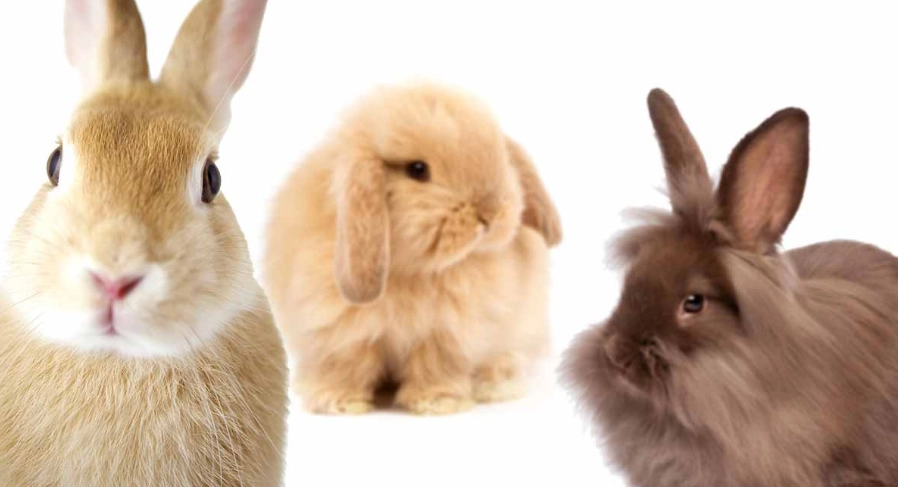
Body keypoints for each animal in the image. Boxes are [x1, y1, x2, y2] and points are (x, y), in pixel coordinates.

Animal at [262, 82, 562, 415]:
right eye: (418, 170)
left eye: (501, 157)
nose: (490, 213)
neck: (413, 270)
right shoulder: (336, 331)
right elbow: (348, 365)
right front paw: (339, 402)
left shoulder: (448, 332)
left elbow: (435, 365)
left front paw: (437, 401)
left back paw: (497, 382)